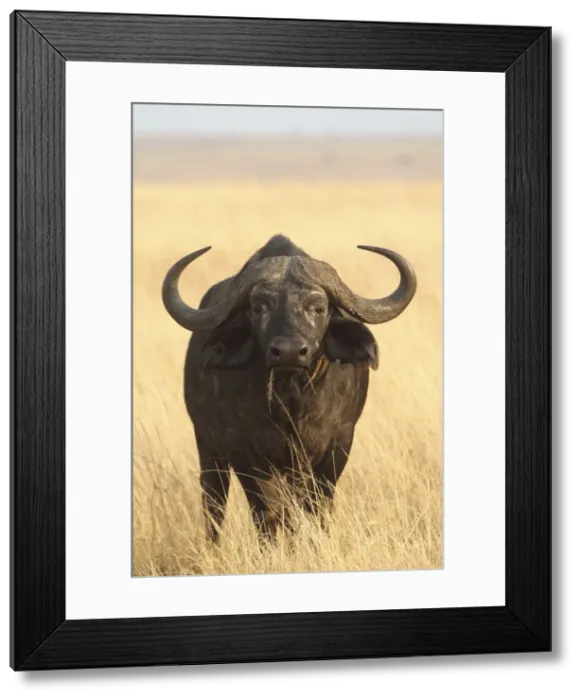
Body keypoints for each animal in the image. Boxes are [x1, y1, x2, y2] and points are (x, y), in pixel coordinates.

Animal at [161, 234, 417, 543]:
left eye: (318, 308)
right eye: (259, 307)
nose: (289, 352)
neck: (291, 400)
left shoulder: (337, 445)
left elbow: (316, 507)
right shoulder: (246, 452)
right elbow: (269, 513)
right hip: (208, 448)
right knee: (214, 504)